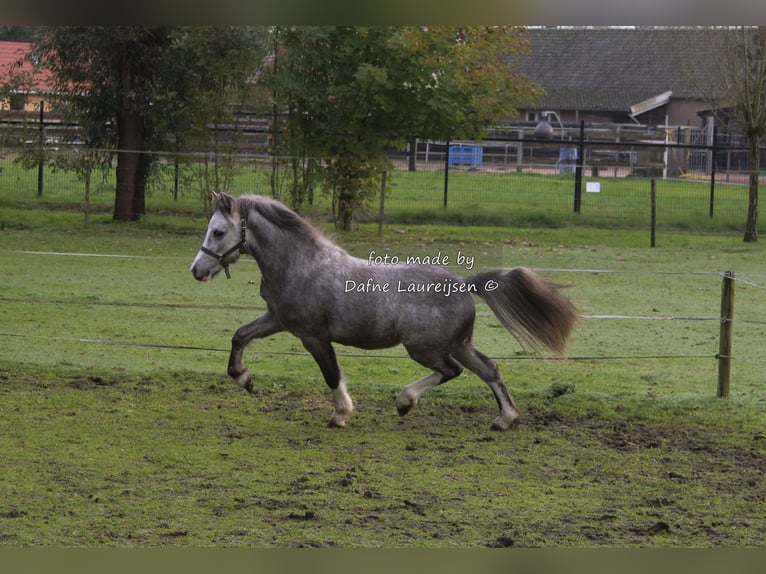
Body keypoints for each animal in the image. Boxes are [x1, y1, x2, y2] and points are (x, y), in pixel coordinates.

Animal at [192, 194, 584, 432]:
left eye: (219, 231)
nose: (197, 271)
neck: (302, 265)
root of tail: (463, 283)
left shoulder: (313, 336)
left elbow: (332, 374)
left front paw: (341, 414)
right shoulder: (278, 320)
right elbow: (240, 335)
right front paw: (243, 378)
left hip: (425, 347)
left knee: (451, 371)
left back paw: (404, 401)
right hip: (458, 344)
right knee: (489, 369)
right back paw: (505, 419)